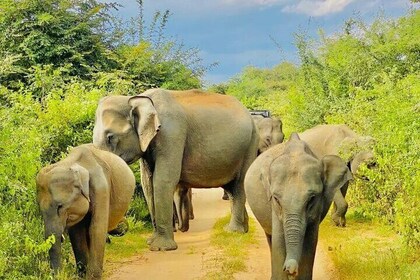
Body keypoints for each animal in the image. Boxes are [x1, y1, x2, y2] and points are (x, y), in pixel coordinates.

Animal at [36, 143, 135, 278]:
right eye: (40, 210)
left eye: (60, 206)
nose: (58, 275)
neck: (72, 163)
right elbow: (77, 233)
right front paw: (82, 275)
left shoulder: (102, 188)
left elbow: (96, 229)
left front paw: (92, 277)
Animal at [92, 88, 260, 250]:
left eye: (110, 137)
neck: (137, 98)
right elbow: (148, 184)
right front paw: (151, 242)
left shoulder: (171, 134)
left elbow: (163, 180)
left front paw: (161, 248)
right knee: (231, 189)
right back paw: (243, 229)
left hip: (250, 145)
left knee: (239, 186)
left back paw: (234, 231)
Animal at [244, 134, 352, 280]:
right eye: (276, 199)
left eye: (312, 199)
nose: (290, 270)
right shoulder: (274, 208)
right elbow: (279, 241)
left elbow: (310, 242)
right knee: (270, 238)